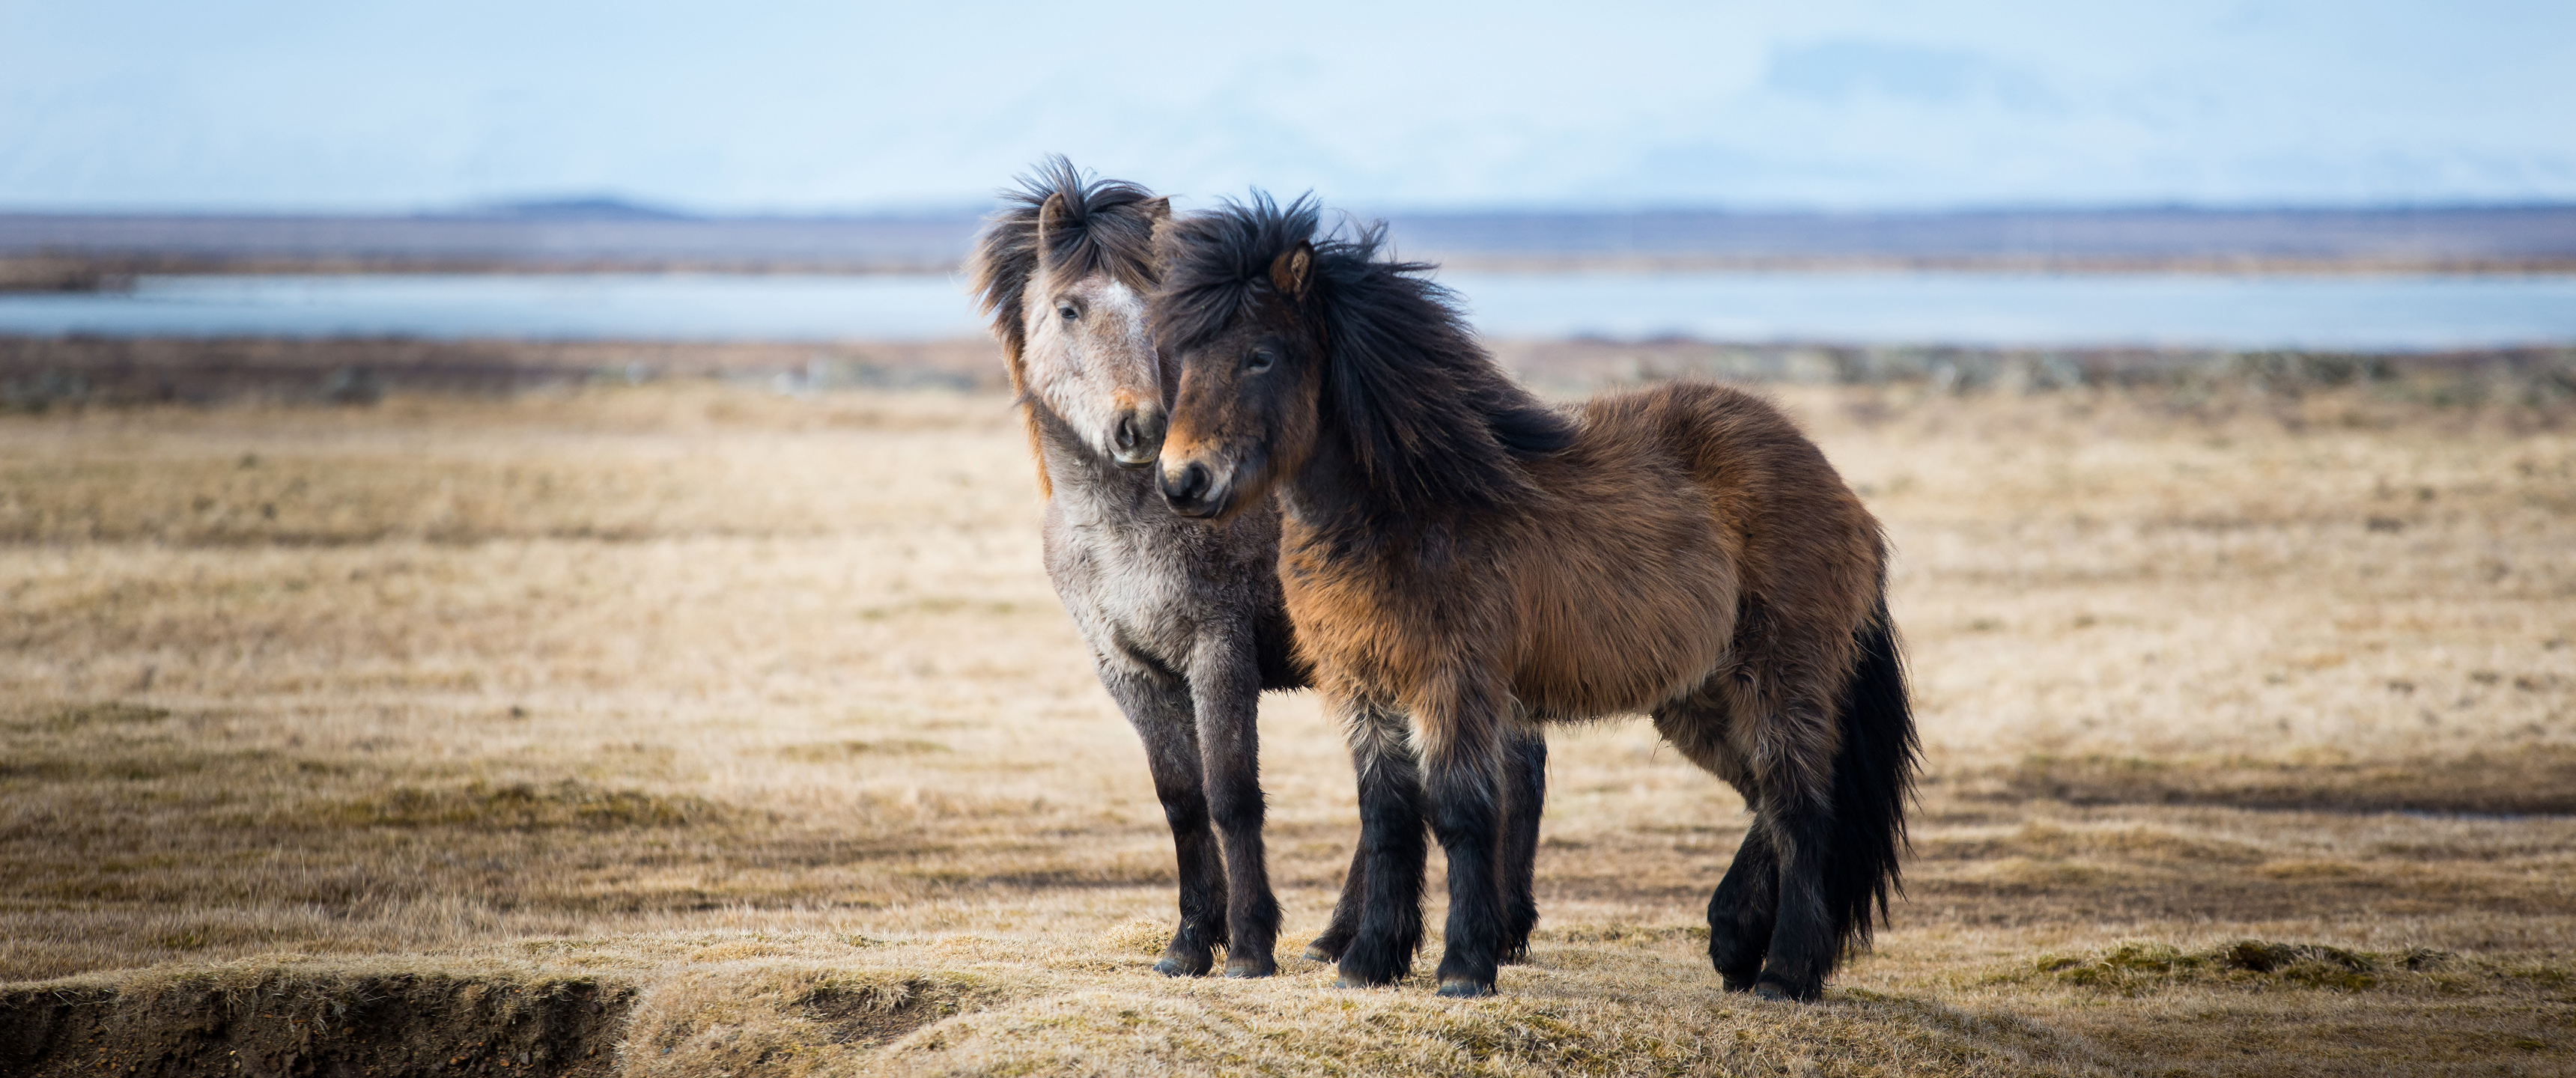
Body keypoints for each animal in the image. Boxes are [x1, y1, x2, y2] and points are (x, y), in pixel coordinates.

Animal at [968, 159, 1546, 977]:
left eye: (1160, 313)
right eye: (1068, 308)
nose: (1141, 426)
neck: (1123, 523)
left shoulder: (1218, 650)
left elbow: (1232, 793)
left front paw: (1246, 944)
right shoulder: (1126, 669)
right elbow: (1180, 798)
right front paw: (1187, 943)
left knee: (1507, 766)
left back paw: (1493, 932)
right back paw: (1342, 939)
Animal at [1149, 196, 1916, 1003]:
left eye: (1260, 355)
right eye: (1184, 357)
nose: (1182, 481)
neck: (1411, 506)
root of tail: (1840, 492)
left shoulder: (1453, 683)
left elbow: (1458, 813)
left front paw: (1462, 969)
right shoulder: (1363, 688)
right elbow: (1386, 817)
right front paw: (1369, 963)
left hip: (1779, 680)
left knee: (1802, 809)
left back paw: (1784, 972)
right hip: (1697, 697)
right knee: (1764, 798)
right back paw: (1734, 940)